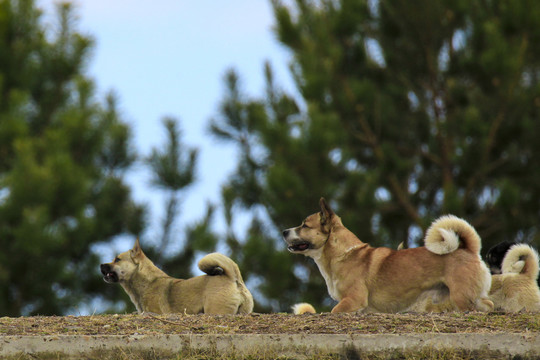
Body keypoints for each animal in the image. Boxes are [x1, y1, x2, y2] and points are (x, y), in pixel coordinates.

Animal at [282, 198, 494, 314]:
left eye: (304, 225)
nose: (284, 231)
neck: (343, 254)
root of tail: (469, 249)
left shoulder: (353, 299)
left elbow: (334, 310)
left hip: (461, 297)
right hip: (471, 297)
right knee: (488, 304)